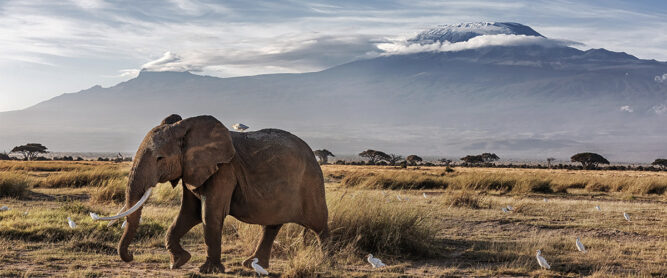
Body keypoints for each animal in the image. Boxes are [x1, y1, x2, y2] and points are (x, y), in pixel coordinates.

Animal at [95, 114, 330, 274]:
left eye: (160, 158)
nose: (131, 255)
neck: (186, 128)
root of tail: (313, 154)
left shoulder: (224, 170)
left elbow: (210, 214)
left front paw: (208, 270)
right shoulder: (192, 170)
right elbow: (188, 214)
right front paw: (178, 262)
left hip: (311, 183)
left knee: (319, 224)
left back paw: (327, 261)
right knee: (271, 225)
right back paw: (252, 265)